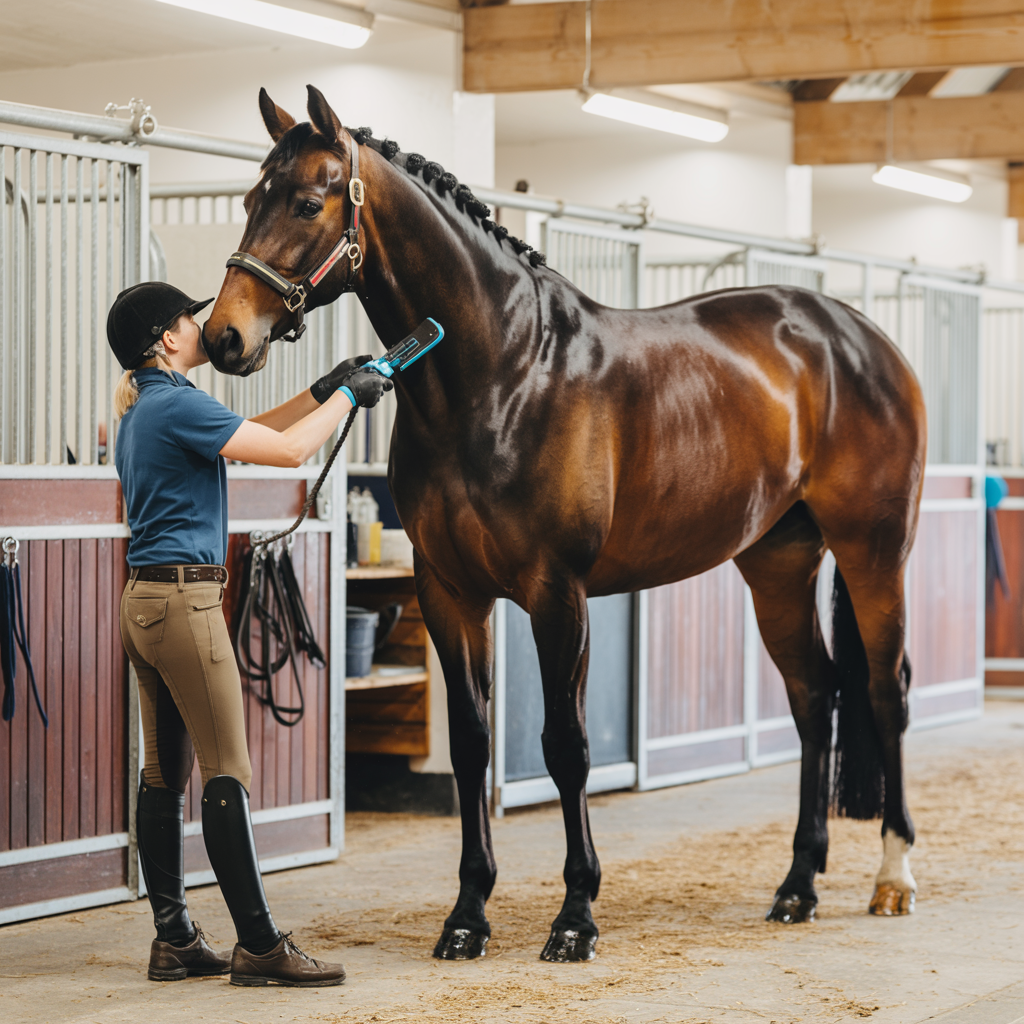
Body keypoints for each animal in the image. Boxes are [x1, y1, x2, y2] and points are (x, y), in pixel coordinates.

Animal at [203, 85, 926, 963]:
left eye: (308, 201)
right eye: (249, 200)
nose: (223, 337)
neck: (505, 373)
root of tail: (858, 336)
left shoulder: (558, 594)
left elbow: (567, 745)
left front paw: (576, 916)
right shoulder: (450, 593)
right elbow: (473, 744)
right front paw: (467, 916)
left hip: (874, 552)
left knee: (885, 691)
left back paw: (893, 877)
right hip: (778, 563)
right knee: (815, 696)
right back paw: (797, 886)